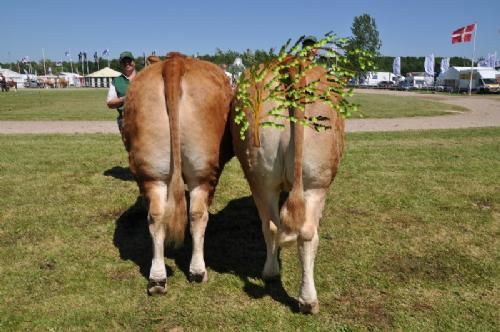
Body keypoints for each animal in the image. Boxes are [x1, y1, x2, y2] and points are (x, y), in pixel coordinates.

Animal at [122, 51, 233, 294]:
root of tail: (175, 62)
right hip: (203, 172)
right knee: (198, 214)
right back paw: (198, 271)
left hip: (151, 171)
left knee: (156, 216)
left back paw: (157, 278)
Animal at [230, 63, 344, 314]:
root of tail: (290, 62)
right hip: (316, 183)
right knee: (308, 234)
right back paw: (308, 300)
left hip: (260, 176)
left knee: (271, 226)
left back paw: (271, 272)